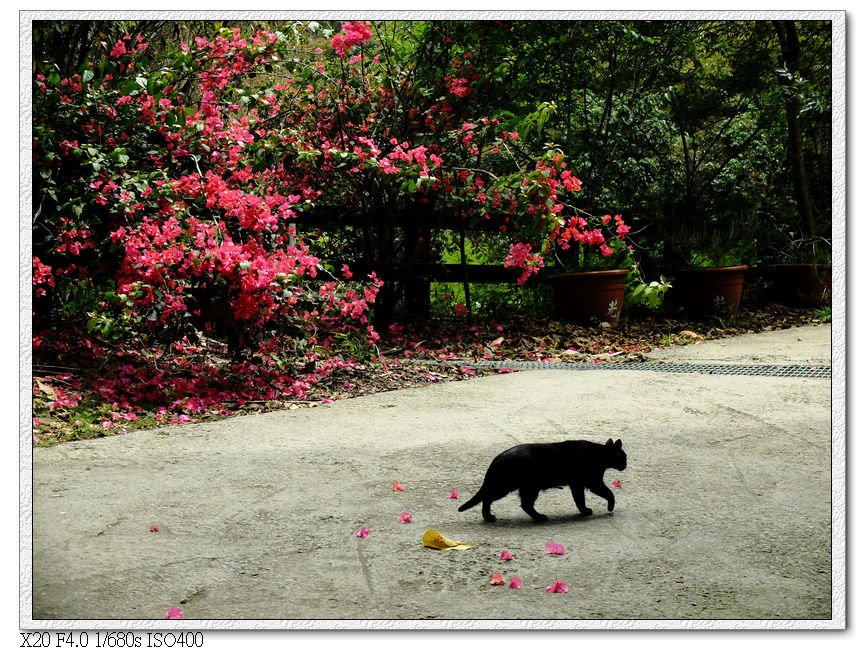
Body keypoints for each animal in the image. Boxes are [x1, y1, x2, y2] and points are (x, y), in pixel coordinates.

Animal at [456, 436, 624, 520]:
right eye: (625, 456)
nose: (626, 464)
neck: (600, 453)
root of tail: (497, 457)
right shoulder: (593, 482)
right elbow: (609, 493)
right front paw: (610, 507)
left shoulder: (577, 484)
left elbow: (579, 499)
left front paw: (583, 511)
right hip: (513, 487)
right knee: (491, 498)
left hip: (524, 487)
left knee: (521, 504)